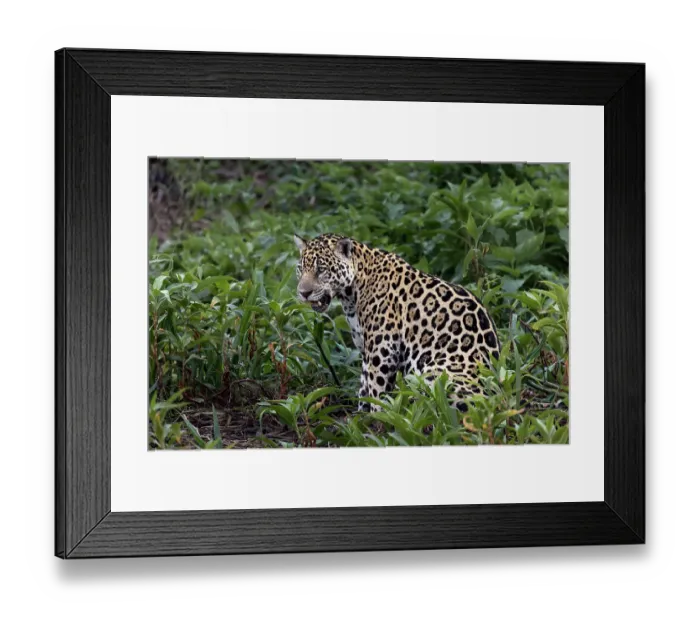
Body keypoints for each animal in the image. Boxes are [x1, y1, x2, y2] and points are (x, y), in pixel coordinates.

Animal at [294, 233, 501, 413]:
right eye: (300, 269)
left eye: (321, 270)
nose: (303, 293)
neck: (351, 295)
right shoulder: (366, 349)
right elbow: (364, 386)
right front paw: (362, 419)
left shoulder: (382, 350)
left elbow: (377, 391)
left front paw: (380, 419)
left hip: (436, 373)